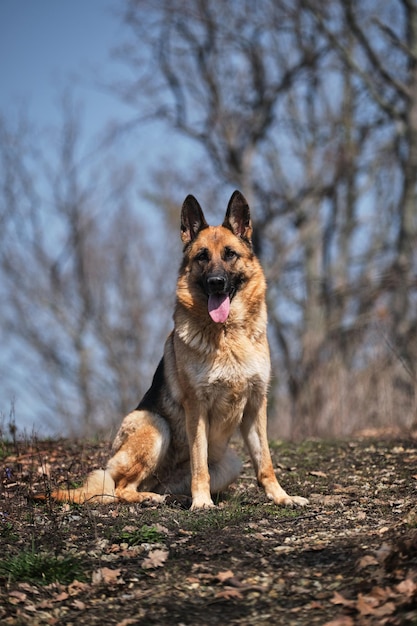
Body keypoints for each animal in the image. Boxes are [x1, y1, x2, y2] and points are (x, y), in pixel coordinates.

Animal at [41, 193, 306, 510]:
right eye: (202, 256)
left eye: (230, 254)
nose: (216, 283)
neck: (227, 334)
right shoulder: (197, 406)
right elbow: (199, 462)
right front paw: (202, 502)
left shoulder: (256, 404)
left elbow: (265, 461)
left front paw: (281, 496)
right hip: (156, 426)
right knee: (120, 488)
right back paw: (149, 497)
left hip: (230, 464)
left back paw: (173, 496)